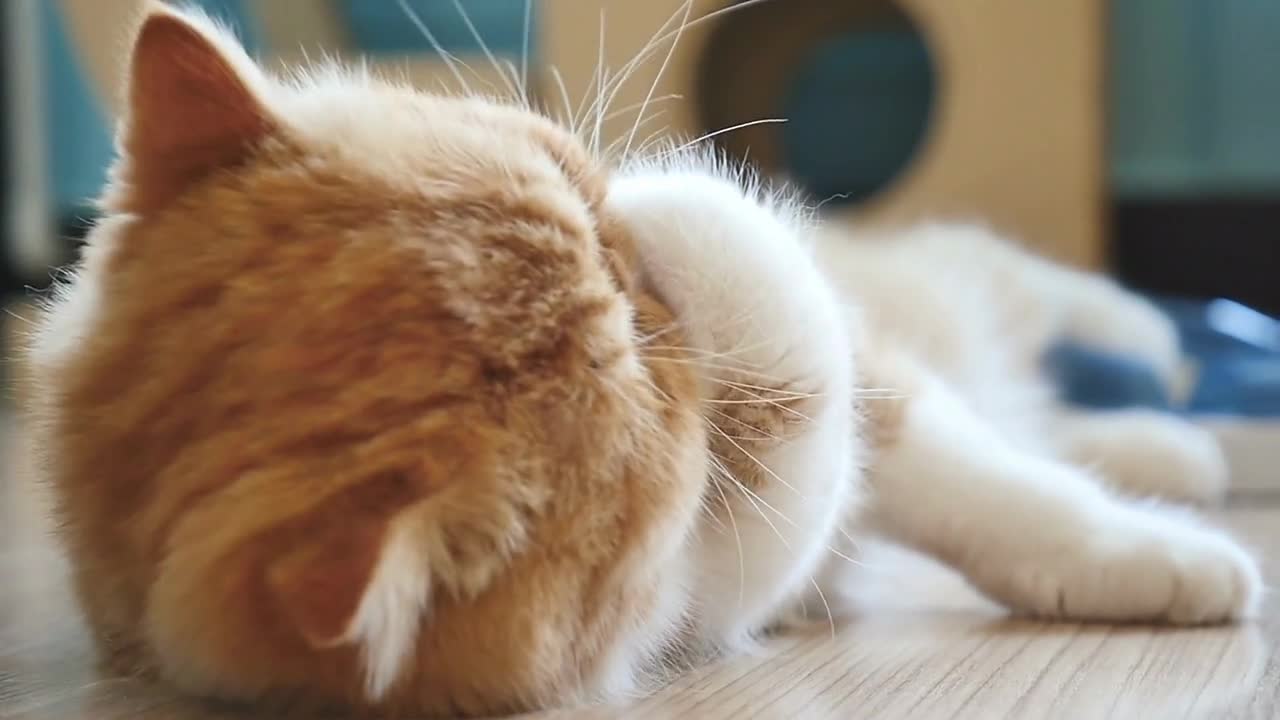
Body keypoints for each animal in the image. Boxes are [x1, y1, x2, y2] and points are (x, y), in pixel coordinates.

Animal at [24, 2, 1264, 712]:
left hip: (1007, 290)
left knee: (1103, 339)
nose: (627, 266)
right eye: (626, 380)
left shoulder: (878, 380)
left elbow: (992, 485)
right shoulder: (754, 555)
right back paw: (1183, 451)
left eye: (573, 187)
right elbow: (812, 375)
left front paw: (1146, 553)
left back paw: (1178, 400)